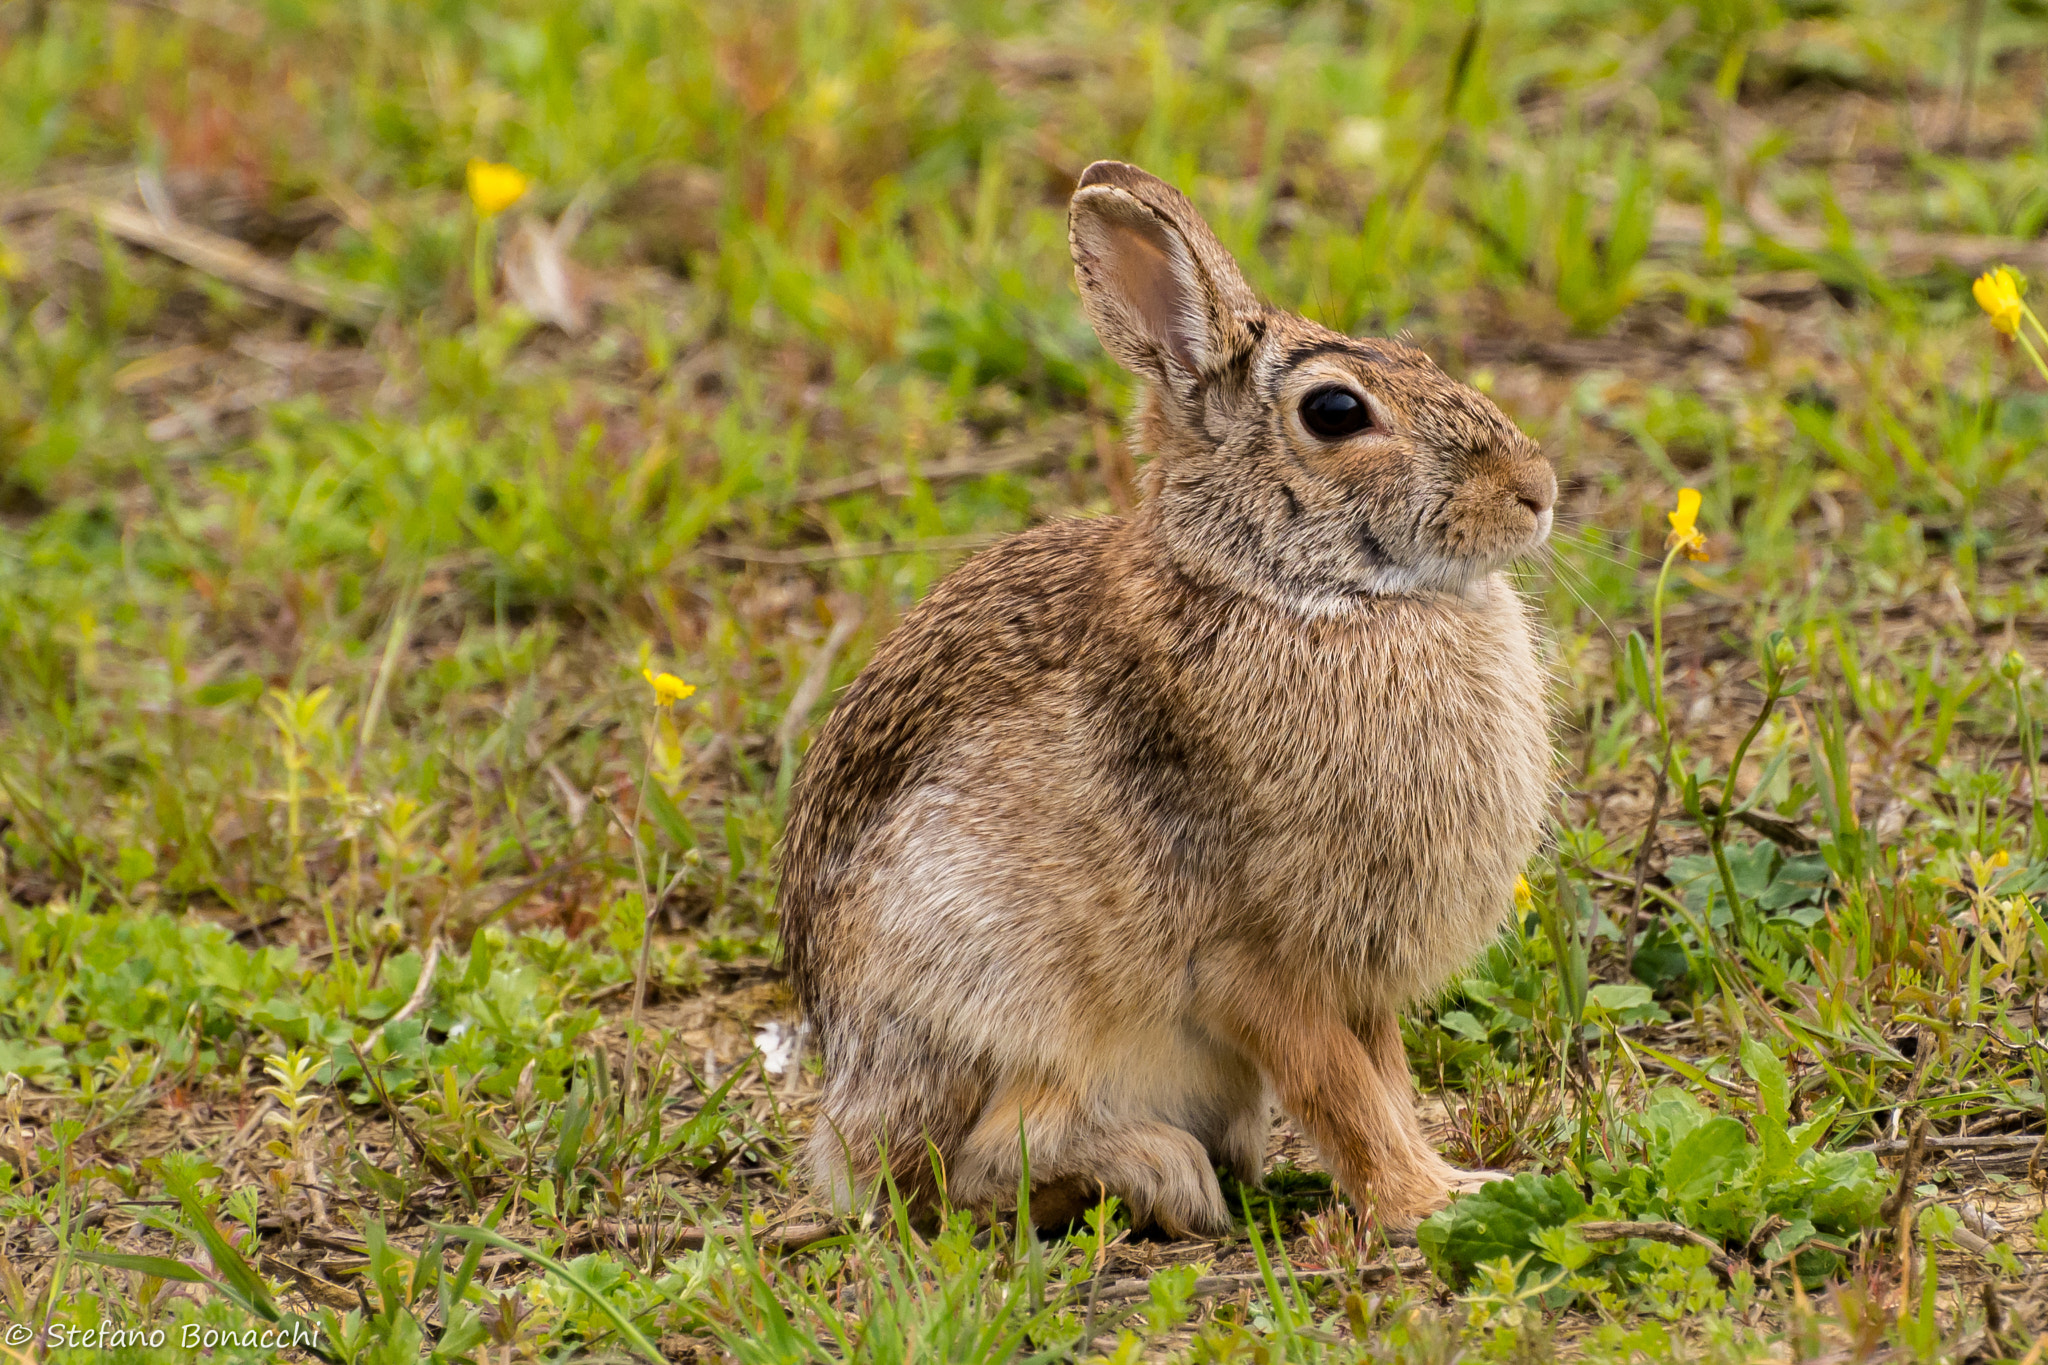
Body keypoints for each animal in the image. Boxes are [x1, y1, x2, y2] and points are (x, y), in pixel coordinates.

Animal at [777, 160, 1555, 1238]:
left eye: (1417, 354)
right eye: (1336, 413)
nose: (1537, 490)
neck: (1291, 591)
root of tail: (845, 1123)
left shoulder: (1358, 975)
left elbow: (1383, 1079)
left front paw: (1434, 1176)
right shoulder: (1252, 959)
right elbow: (1340, 1090)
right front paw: (1431, 1201)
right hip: (1001, 997)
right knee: (974, 1168)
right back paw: (1161, 1172)